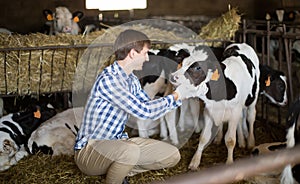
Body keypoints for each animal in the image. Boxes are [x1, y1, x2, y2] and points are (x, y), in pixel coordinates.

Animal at [171, 42, 260, 170]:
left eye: (198, 67)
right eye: (182, 63)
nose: (173, 76)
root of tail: (240, 44)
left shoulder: (234, 111)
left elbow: (230, 140)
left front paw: (229, 163)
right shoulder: (209, 111)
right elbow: (203, 137)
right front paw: (195, 161)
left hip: (253, 97)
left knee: (250, 117)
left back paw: (250, 142)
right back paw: (229, 139)